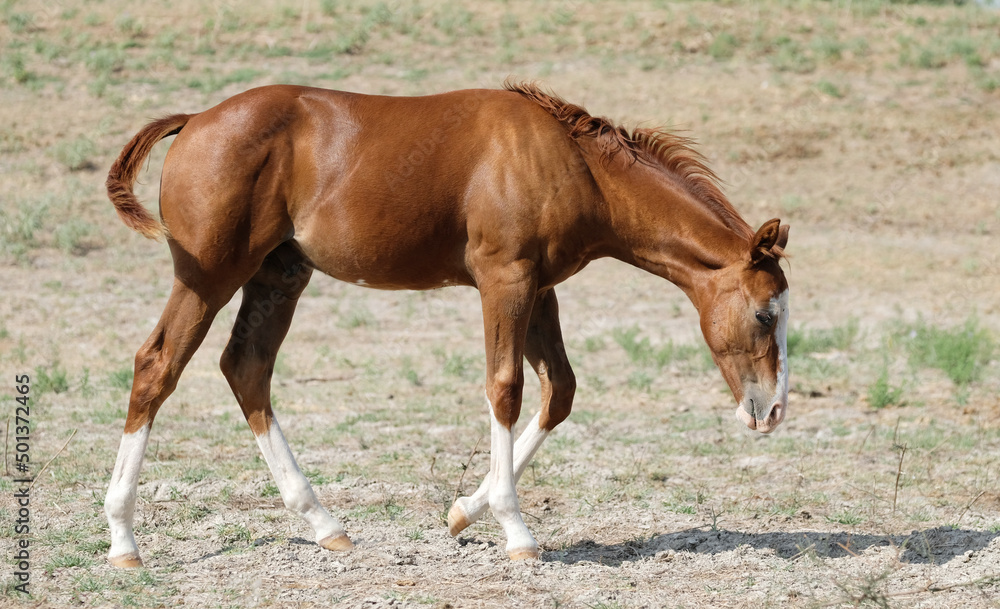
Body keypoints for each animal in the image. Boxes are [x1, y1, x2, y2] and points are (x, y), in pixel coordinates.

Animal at [103, 81, 789, 567]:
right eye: (764, 312)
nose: (772, 411)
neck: (568, 162)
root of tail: (196, 119)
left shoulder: (540, 288)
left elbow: (559, 391)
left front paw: (463, 512)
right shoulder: (504, 279)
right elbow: (505, 388)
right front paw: (515, 529)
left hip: (279, 275)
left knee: (246, 368)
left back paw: (325, 525)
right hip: (211, 276)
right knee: (158, 365)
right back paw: (123, 540)